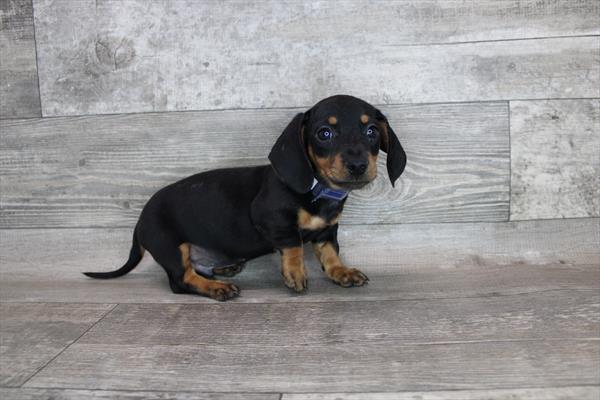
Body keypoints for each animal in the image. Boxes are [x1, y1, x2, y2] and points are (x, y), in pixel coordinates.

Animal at [84, 94, 408, 300]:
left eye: (371, 131)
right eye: (324, 133)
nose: (357, 165)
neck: (319, 190)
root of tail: (139, 222)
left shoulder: (328, 230)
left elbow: (330, 253)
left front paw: (342, 272)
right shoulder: (271, 219)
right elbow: (293, 244)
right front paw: (295, 273)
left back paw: (224, 269)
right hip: (169, 246)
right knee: (181, 280)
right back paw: (215, 288)